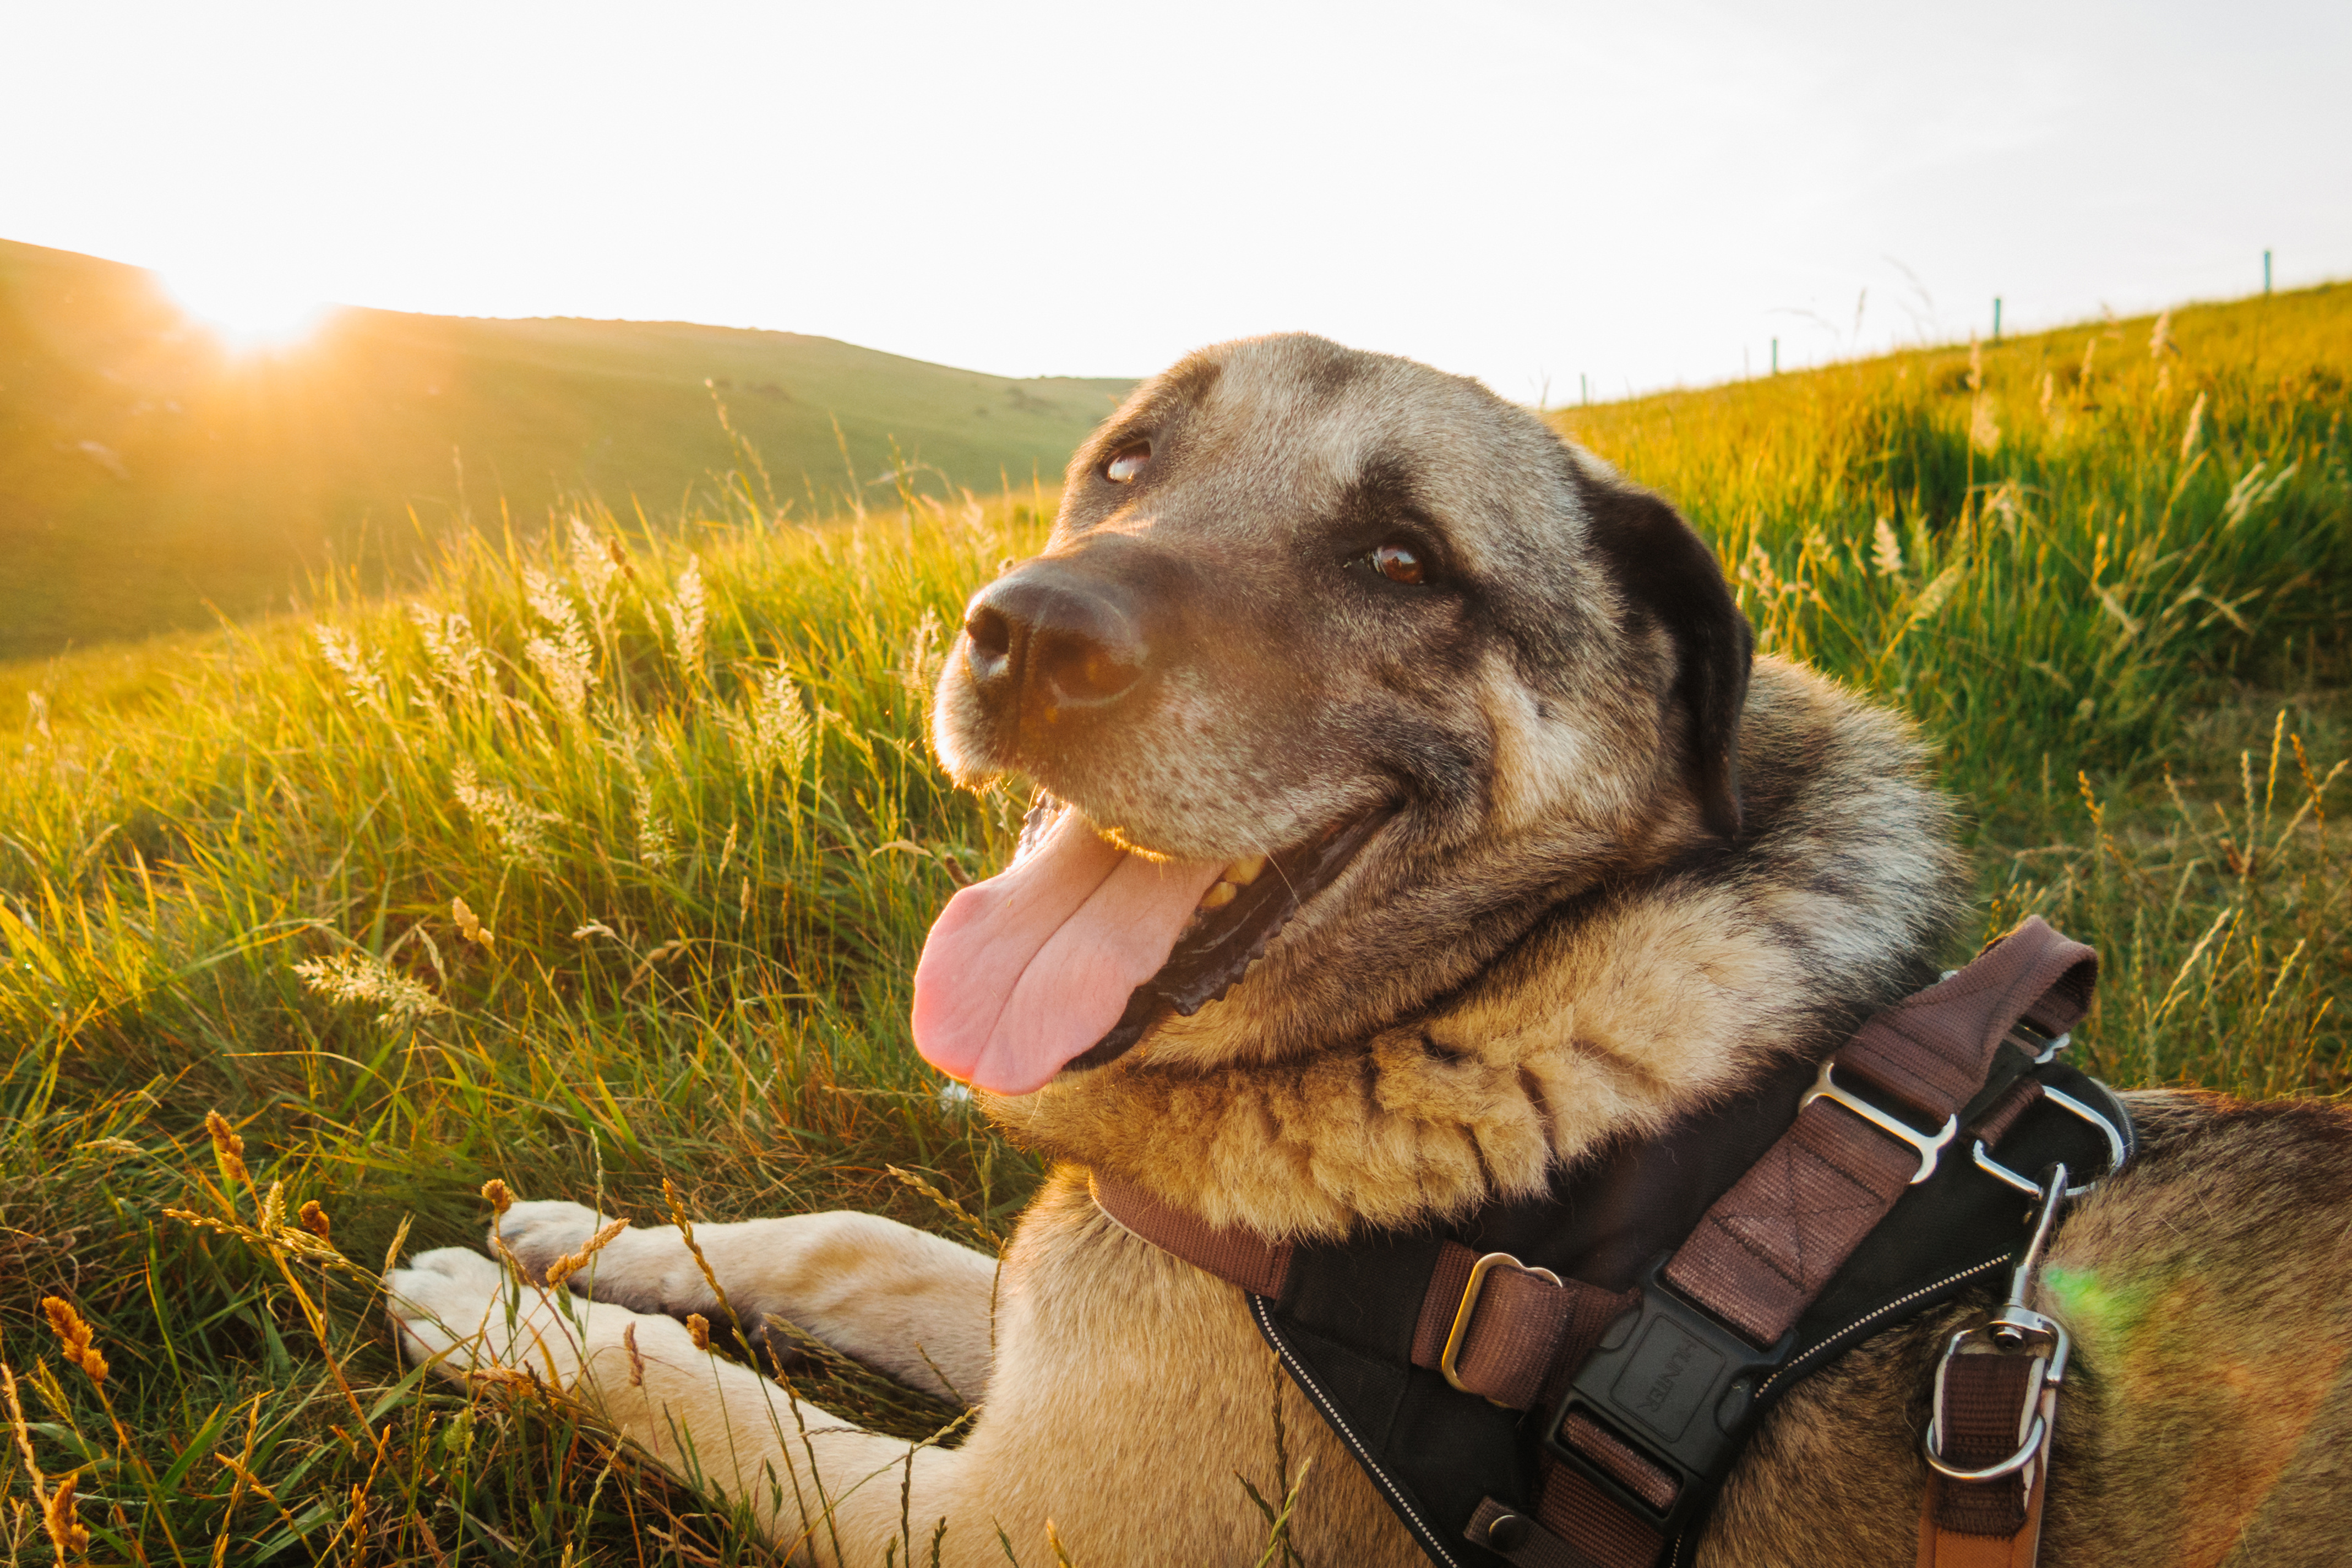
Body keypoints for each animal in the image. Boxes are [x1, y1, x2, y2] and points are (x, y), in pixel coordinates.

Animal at [385, 334, 2352, 1568]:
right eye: (1124, 463)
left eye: (1404, 561)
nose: (1012, 634)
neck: (1483, 993)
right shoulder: (1067, 1328)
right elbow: (844, 1240)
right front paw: (595, 1242)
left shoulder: (994, 1522)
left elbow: (705, 1400)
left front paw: (501, 1315)